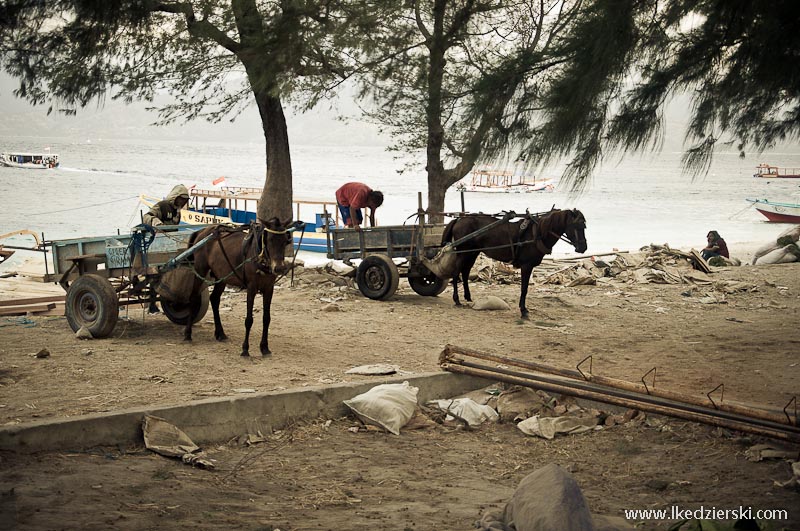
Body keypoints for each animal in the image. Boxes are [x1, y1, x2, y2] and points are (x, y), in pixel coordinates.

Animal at [185, 218, 294, 360]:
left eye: (286, 240)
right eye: (269, 239)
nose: (279, 268)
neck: (260, 258)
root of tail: (202, 231)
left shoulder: (269, 288)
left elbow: (266, 318)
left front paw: (264, 347)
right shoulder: (251, 288)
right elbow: (249, 320)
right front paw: (245, 349)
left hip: (222, 276)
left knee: (214, 299)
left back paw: (220, 333)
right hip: (200, 269)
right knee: (193, 297)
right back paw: (188, 333)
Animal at [440, 209, 584, 318]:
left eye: (584, 226)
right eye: (577, 225)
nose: (583, 247)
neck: (537, 234)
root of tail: (459, 219)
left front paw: (524, 309)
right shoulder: (526, 266)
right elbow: (524, 288)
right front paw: (523, 310)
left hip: (472, 253)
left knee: (465, 273)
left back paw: (468, 297)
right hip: (463, 253)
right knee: (456, 272)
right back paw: (457, 299)